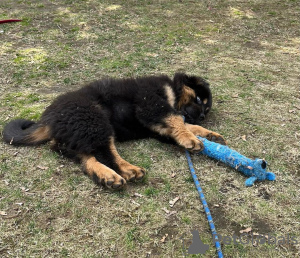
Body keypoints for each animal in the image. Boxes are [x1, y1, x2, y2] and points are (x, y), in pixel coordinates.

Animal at [2, 72, 225, 189]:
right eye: (199, 100)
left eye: (206, 110)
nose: (201, 116)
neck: (173, 91)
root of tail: (49, 119)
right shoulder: (151, 105)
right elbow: (177, 119)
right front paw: (191, 139)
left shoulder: (156, 127)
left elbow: (183, 124)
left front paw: (208, 134)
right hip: (95, 119)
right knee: (107, 152)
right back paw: (127, 169)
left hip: (81, 131)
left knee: (83, 155)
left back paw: (105, 176)